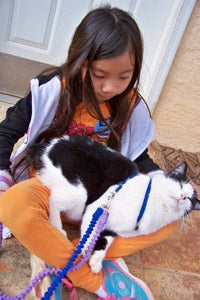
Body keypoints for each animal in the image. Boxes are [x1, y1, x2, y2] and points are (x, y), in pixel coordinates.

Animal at [25, 136, 199, 274]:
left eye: (190, 199)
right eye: (180, 184)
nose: (183, 196)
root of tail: (48, 146)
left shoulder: (113, 229)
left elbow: (105, 243)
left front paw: (95, 261)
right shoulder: (95, 210)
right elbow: (89, 238)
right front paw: (83, 253)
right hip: (79, 195)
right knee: (53, 199)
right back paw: (58, 227)